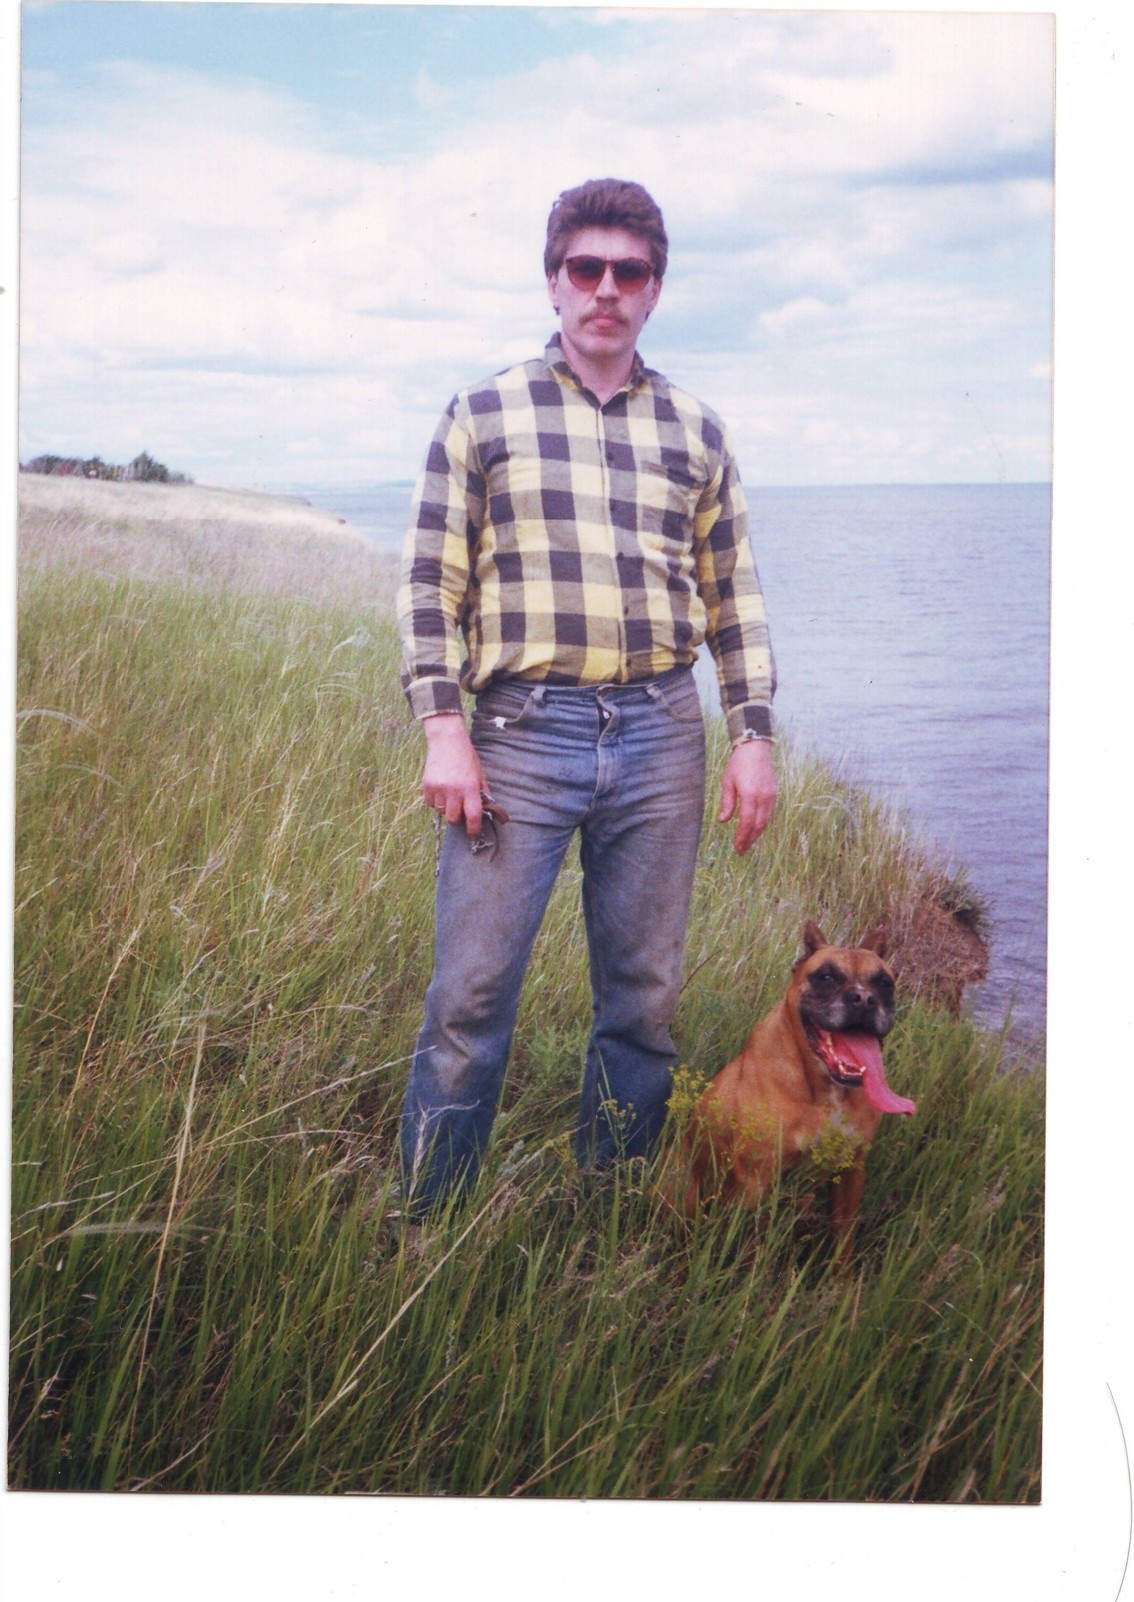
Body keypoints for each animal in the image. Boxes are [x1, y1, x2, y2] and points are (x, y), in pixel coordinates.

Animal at [665, 922, 915, 1253]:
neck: (826, 1092)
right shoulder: (757, 1180)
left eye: (884, 983)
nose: (864, 999)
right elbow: (753, 1246)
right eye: (826, 976)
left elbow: (843, 1243)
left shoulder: (851, 1171)